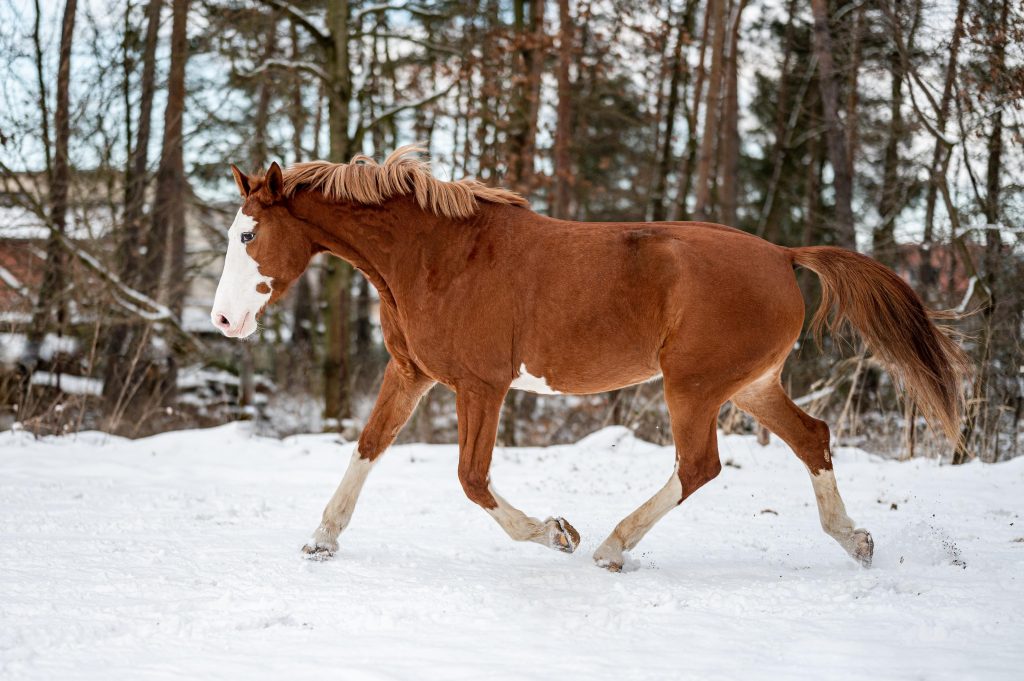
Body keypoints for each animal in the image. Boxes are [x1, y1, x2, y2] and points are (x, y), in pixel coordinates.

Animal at [211, 146, 968, 571]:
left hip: (694, 386)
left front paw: (557, 532)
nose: (223, 319)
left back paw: (610, 545)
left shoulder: (481, 386)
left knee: (700, 466)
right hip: (750, 384)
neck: (434, 255)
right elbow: (368, 445)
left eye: (248, 234)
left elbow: (472, 479)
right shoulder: (413, 373)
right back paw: (855, 540)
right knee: (812, 437)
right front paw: (322, 539)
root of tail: (784, 255)